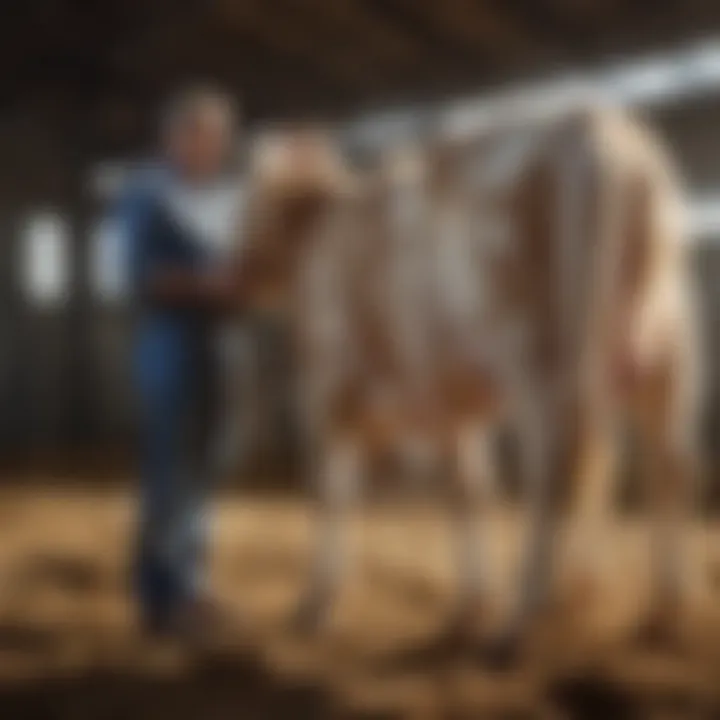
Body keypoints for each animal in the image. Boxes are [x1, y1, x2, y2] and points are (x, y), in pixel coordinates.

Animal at [233, 108, 700, 660]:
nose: (236, 272)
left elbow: (333, 493)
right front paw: (467, 609)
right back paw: (658, 613)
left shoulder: (325, 390)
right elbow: (467, 490)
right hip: (664, 353)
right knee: (664, 463)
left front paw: (314, 605)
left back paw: (519, 625)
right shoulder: (448, 402)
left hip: (537, 358)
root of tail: (596, 127)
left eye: (251, 199)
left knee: (558, 472)